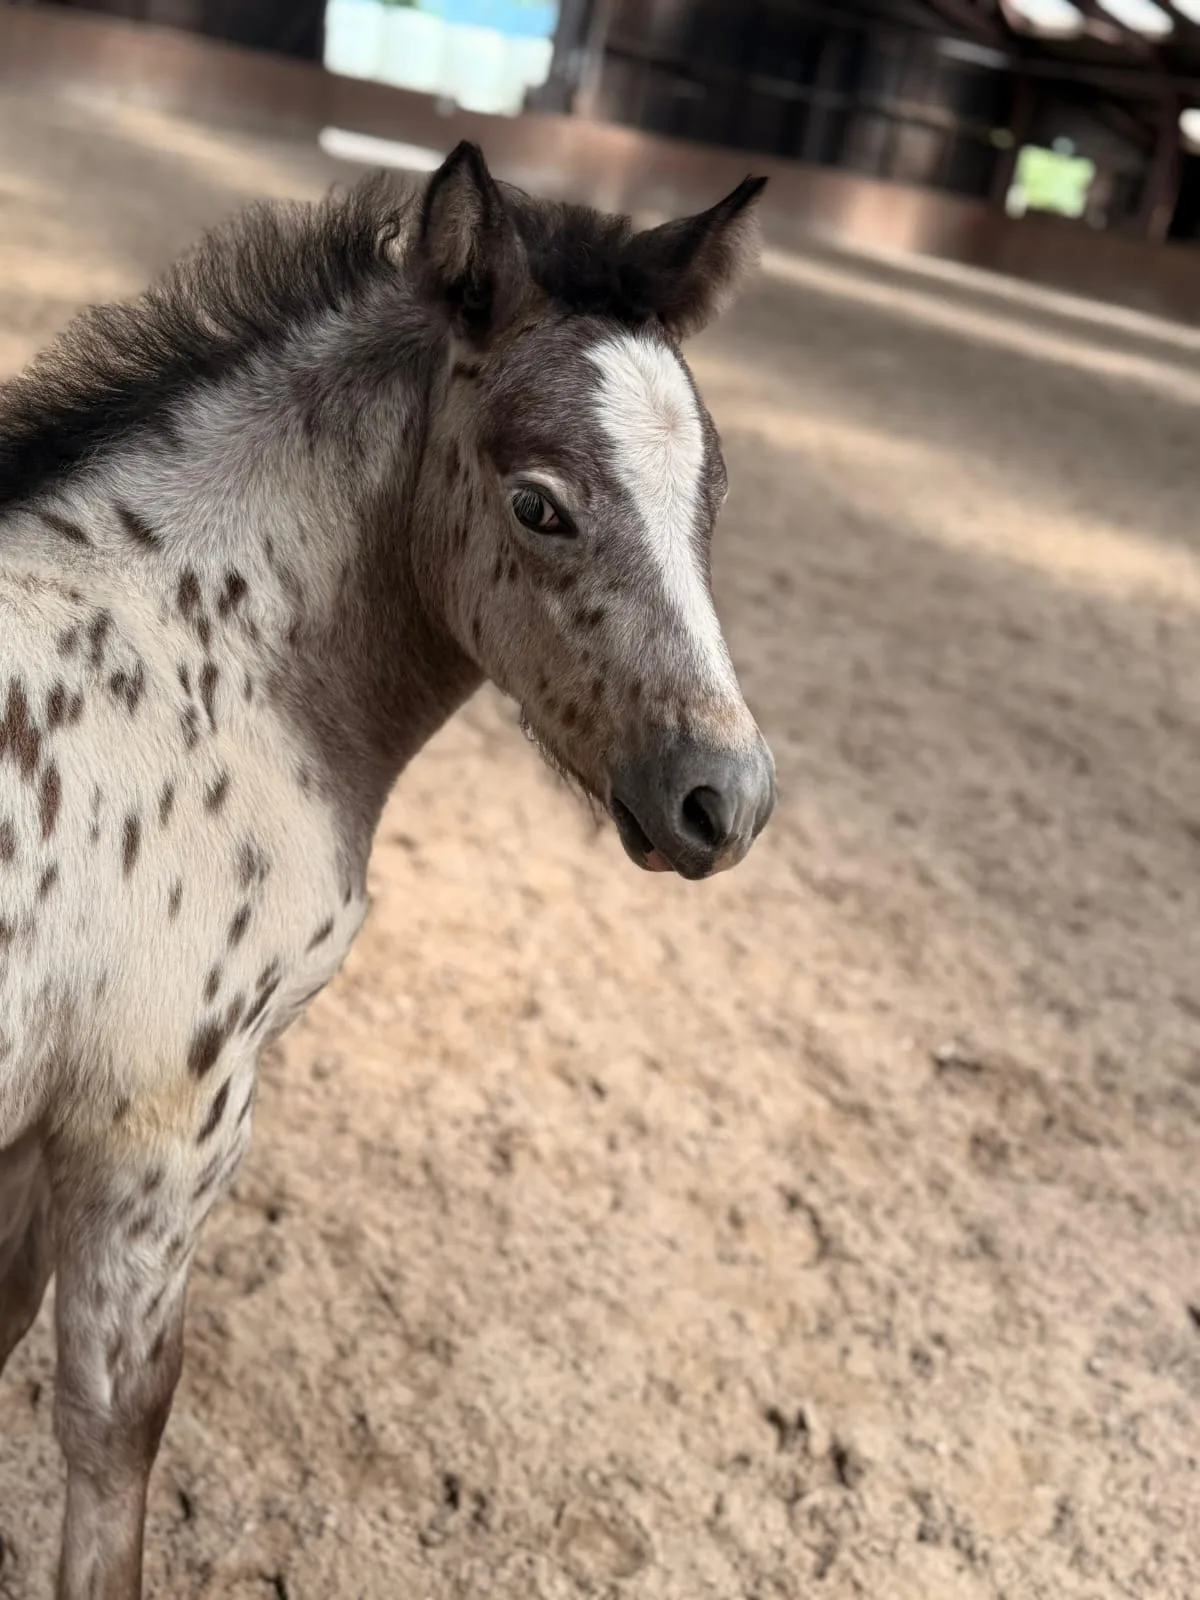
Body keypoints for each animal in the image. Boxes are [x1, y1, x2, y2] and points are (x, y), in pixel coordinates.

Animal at [0, 140, 774, 1596]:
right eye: (540, 505)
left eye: (711, 499)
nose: (725, 800)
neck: (200, 664)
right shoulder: (160, 1115)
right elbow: (114, 1426)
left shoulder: (46, 1117)